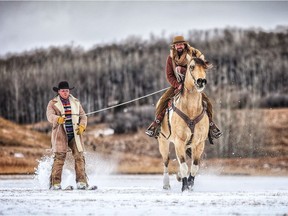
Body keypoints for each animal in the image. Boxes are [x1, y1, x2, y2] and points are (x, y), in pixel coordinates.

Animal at [156, 56, 210, 192]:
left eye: (205, 67)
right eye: (191, 67)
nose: (201, 81)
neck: (191, 111)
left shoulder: (199, 143)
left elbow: (194, 167)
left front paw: (190, 184)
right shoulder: (179, 142)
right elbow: (184, 165)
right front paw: (185, 187)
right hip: (163, 142)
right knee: (166, 161)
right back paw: (166, 184)